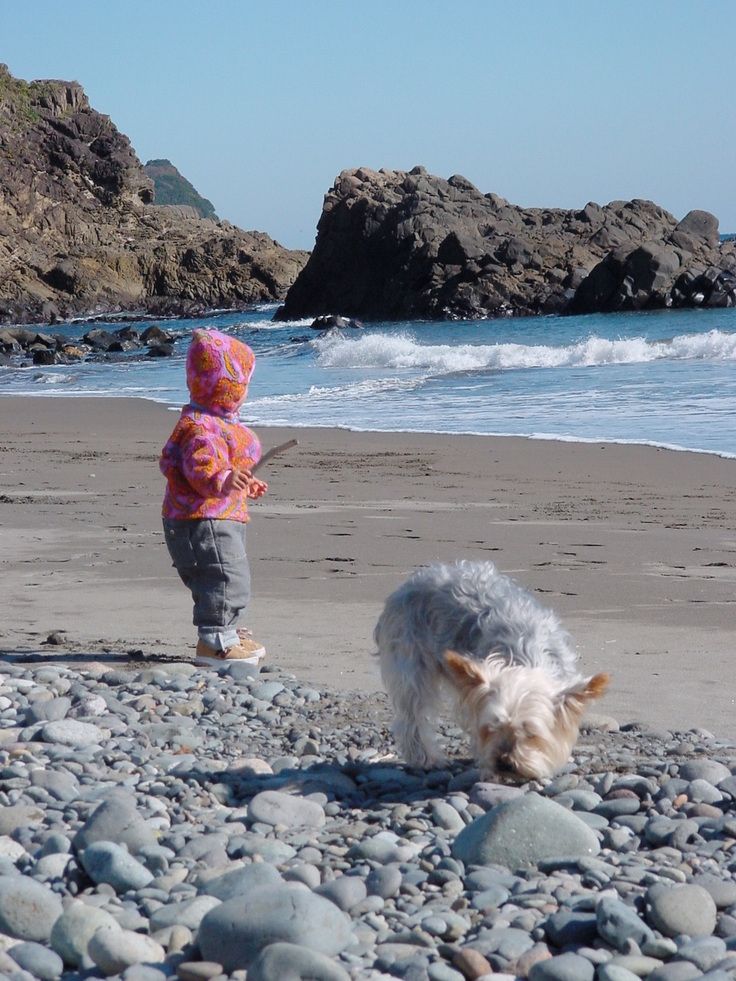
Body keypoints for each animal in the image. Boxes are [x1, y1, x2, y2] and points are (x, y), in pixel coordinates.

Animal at [374, 560, 608, 780]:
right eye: (491, 728)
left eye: (531, 734)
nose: (503, 763)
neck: (526, 658)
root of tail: (411, 582)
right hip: (409, 660)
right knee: (413, 714)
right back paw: (426, 759)